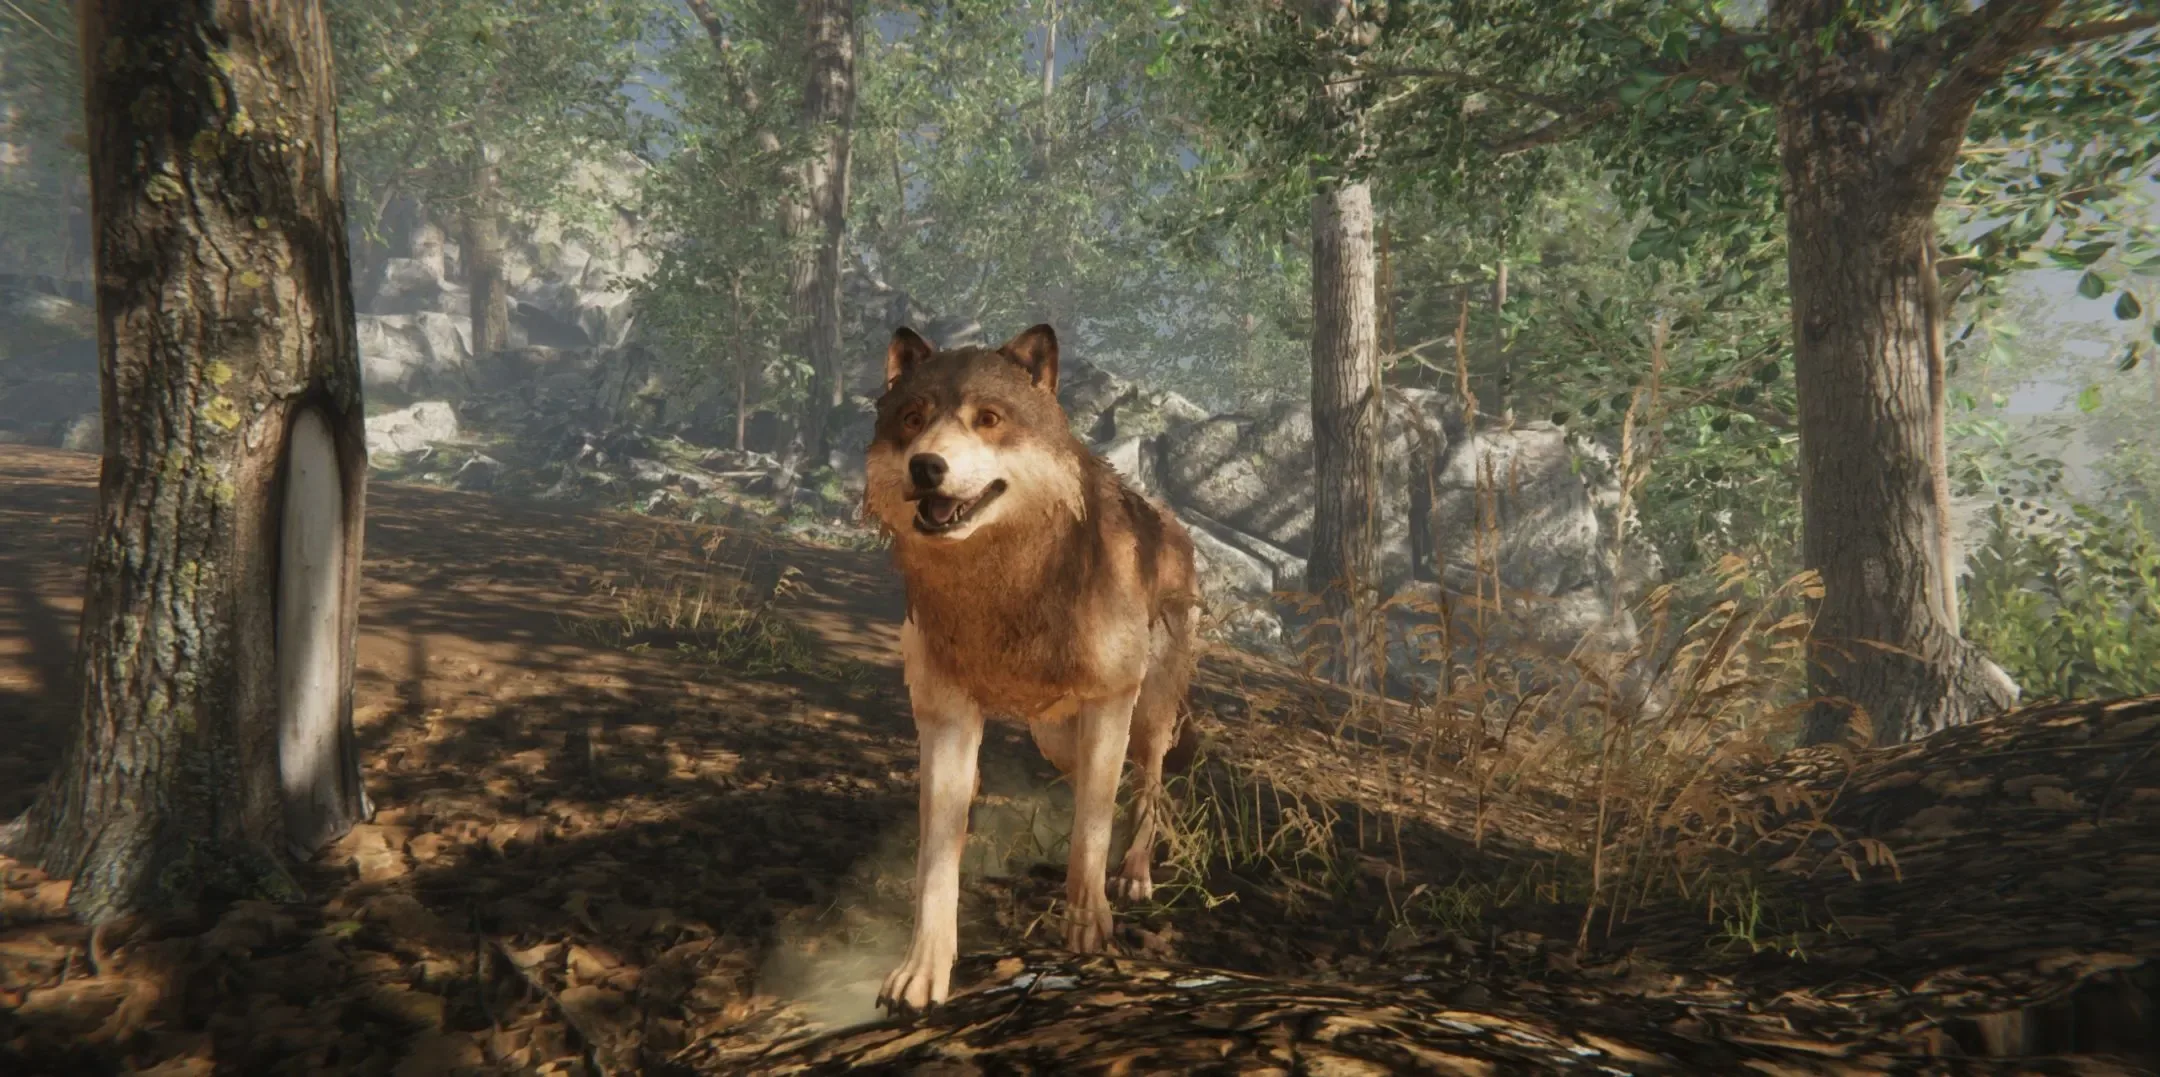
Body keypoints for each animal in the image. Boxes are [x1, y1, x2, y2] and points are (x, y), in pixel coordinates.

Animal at [863, 323, 1203, 1014]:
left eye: (988, 420)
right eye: (912, 420)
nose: (925, 466)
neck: (1004, 592)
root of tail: (1175, 524)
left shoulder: (1110, 699)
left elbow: (1092, 833)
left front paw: (1088, 927)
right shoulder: (946, 716)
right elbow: (936, 861)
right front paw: (921, 972)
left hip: (1148, 711)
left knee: (1147, 783)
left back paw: (1134, 873)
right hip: (1055, 736)